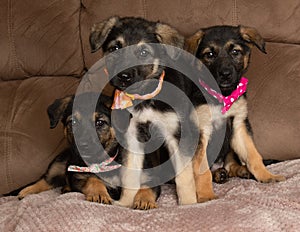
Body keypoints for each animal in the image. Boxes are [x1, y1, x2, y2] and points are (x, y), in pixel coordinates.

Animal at [89, 16, 213, 208]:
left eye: (143, 52)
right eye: (115, 48)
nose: (123, 77)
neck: (145, 97)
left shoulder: (177, 135)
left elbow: (184, 177)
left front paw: (187, 203)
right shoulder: (133, 137)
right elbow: (130, 175)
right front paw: (125, 203)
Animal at [185, 25, 286, 185]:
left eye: (235, 52)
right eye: (210, 54)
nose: (225, 74)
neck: (223, 96)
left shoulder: (239, 124)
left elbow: (253, 156)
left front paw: (267, 176)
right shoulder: (202, 129)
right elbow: (202, 170)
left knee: (231, 165)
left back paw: (240, 171)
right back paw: (218, 174)